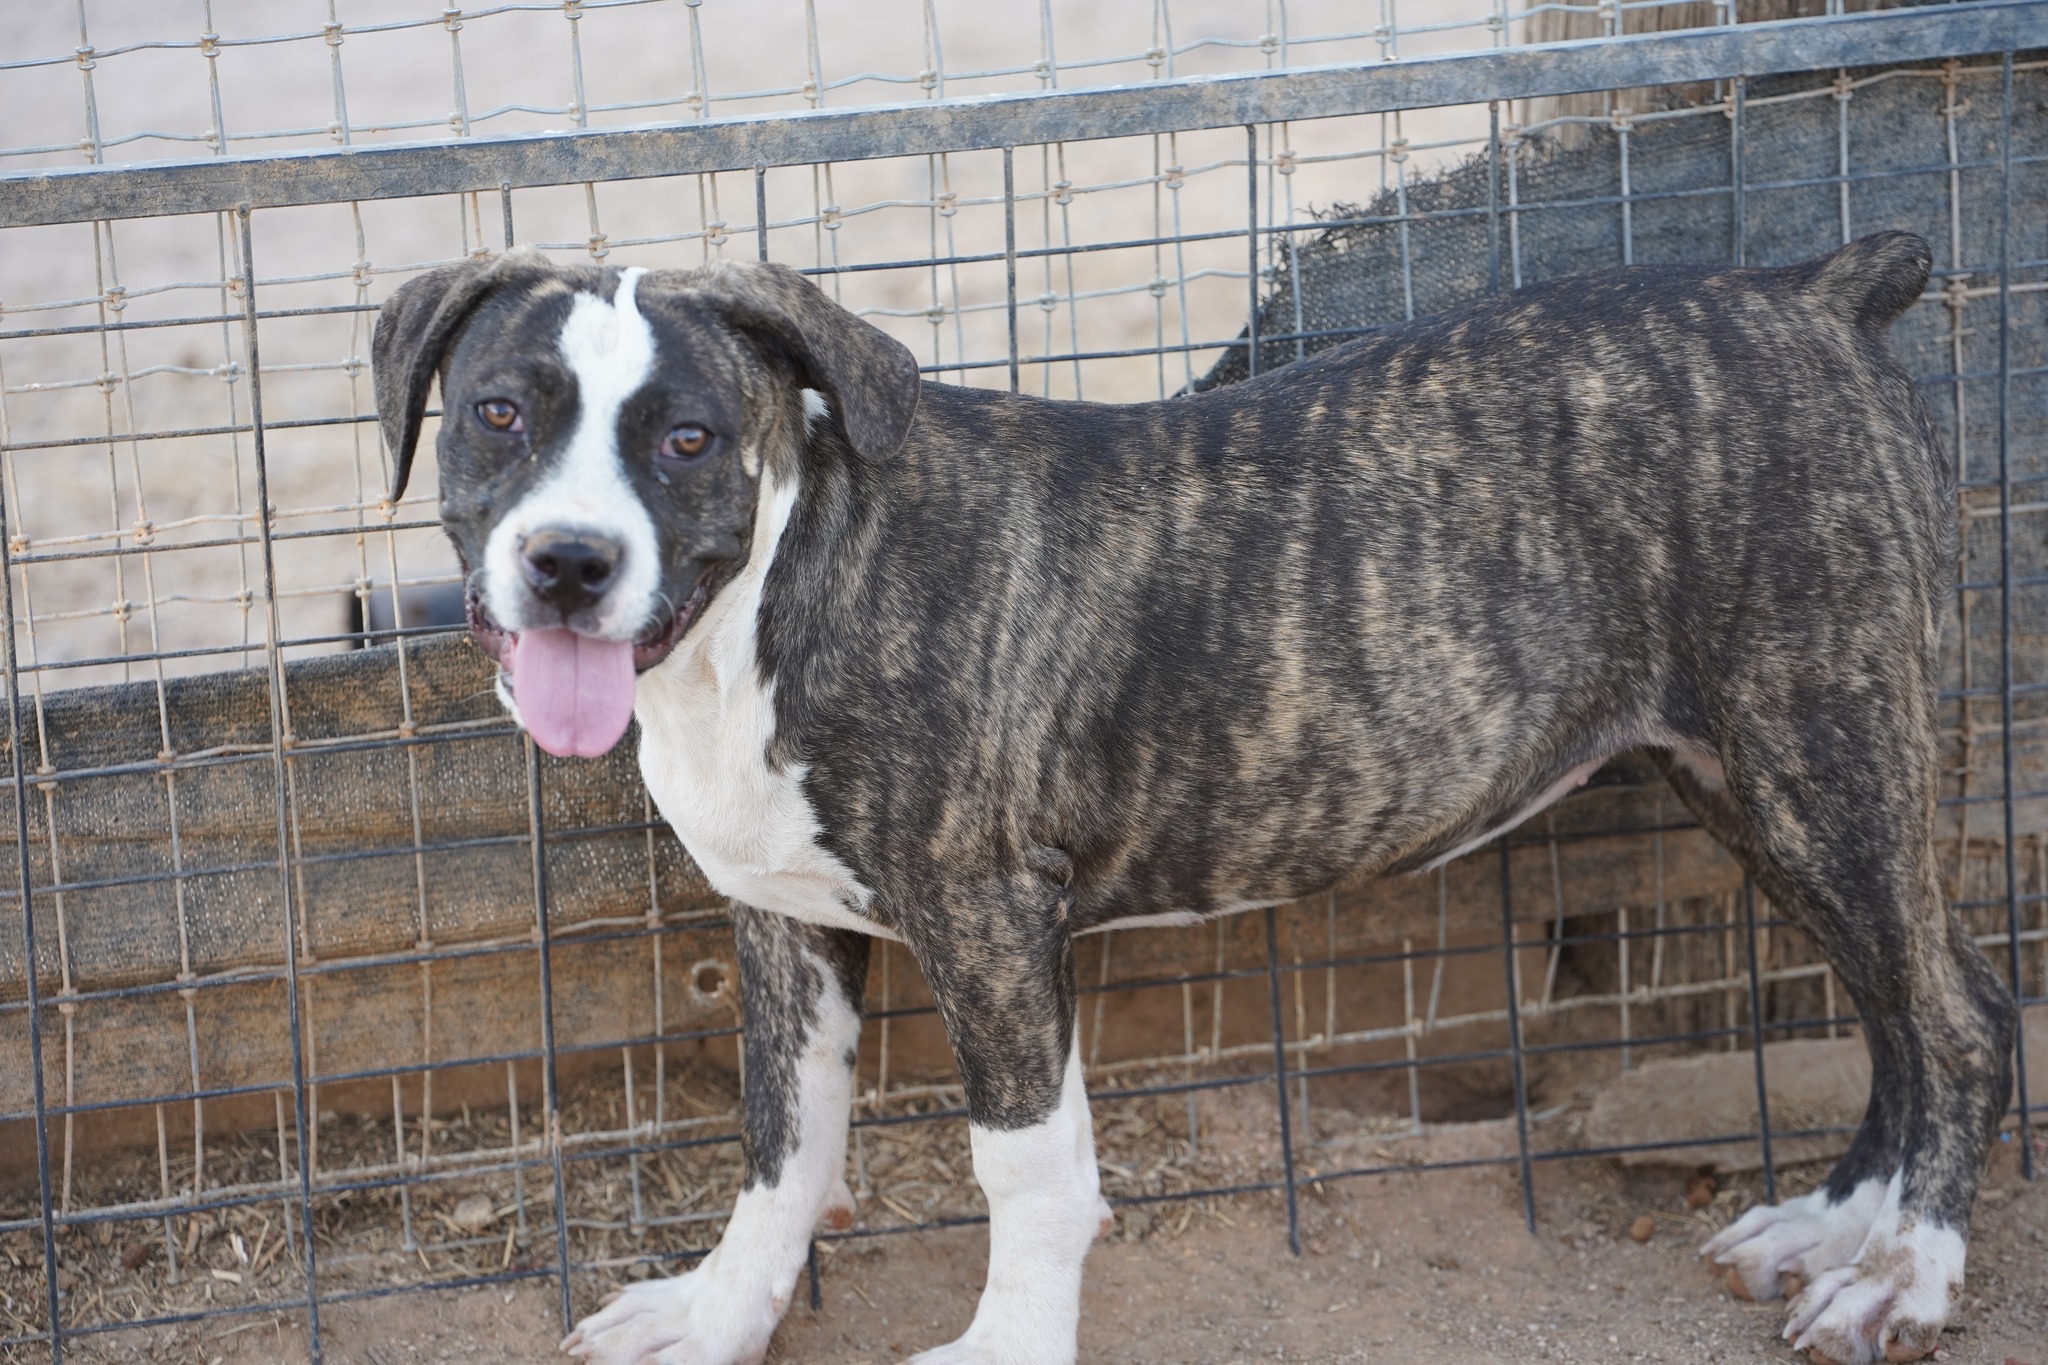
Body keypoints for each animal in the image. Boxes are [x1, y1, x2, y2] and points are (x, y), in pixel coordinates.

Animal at [372, 235, 2015, 1365]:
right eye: (501, 416)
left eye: (690, 438)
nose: (567, 562)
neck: (773, 598)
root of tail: (1815, 291)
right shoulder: (785, 924)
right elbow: (784, 1147)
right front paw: (719, 1316)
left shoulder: (988, 918)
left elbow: (1028, 1166)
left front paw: (1008, 1349)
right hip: (1748, 776)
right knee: (1898, 1003)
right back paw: (1838, 1225)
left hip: (1822, 750)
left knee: (1959, 1014)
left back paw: (1904, 1273)